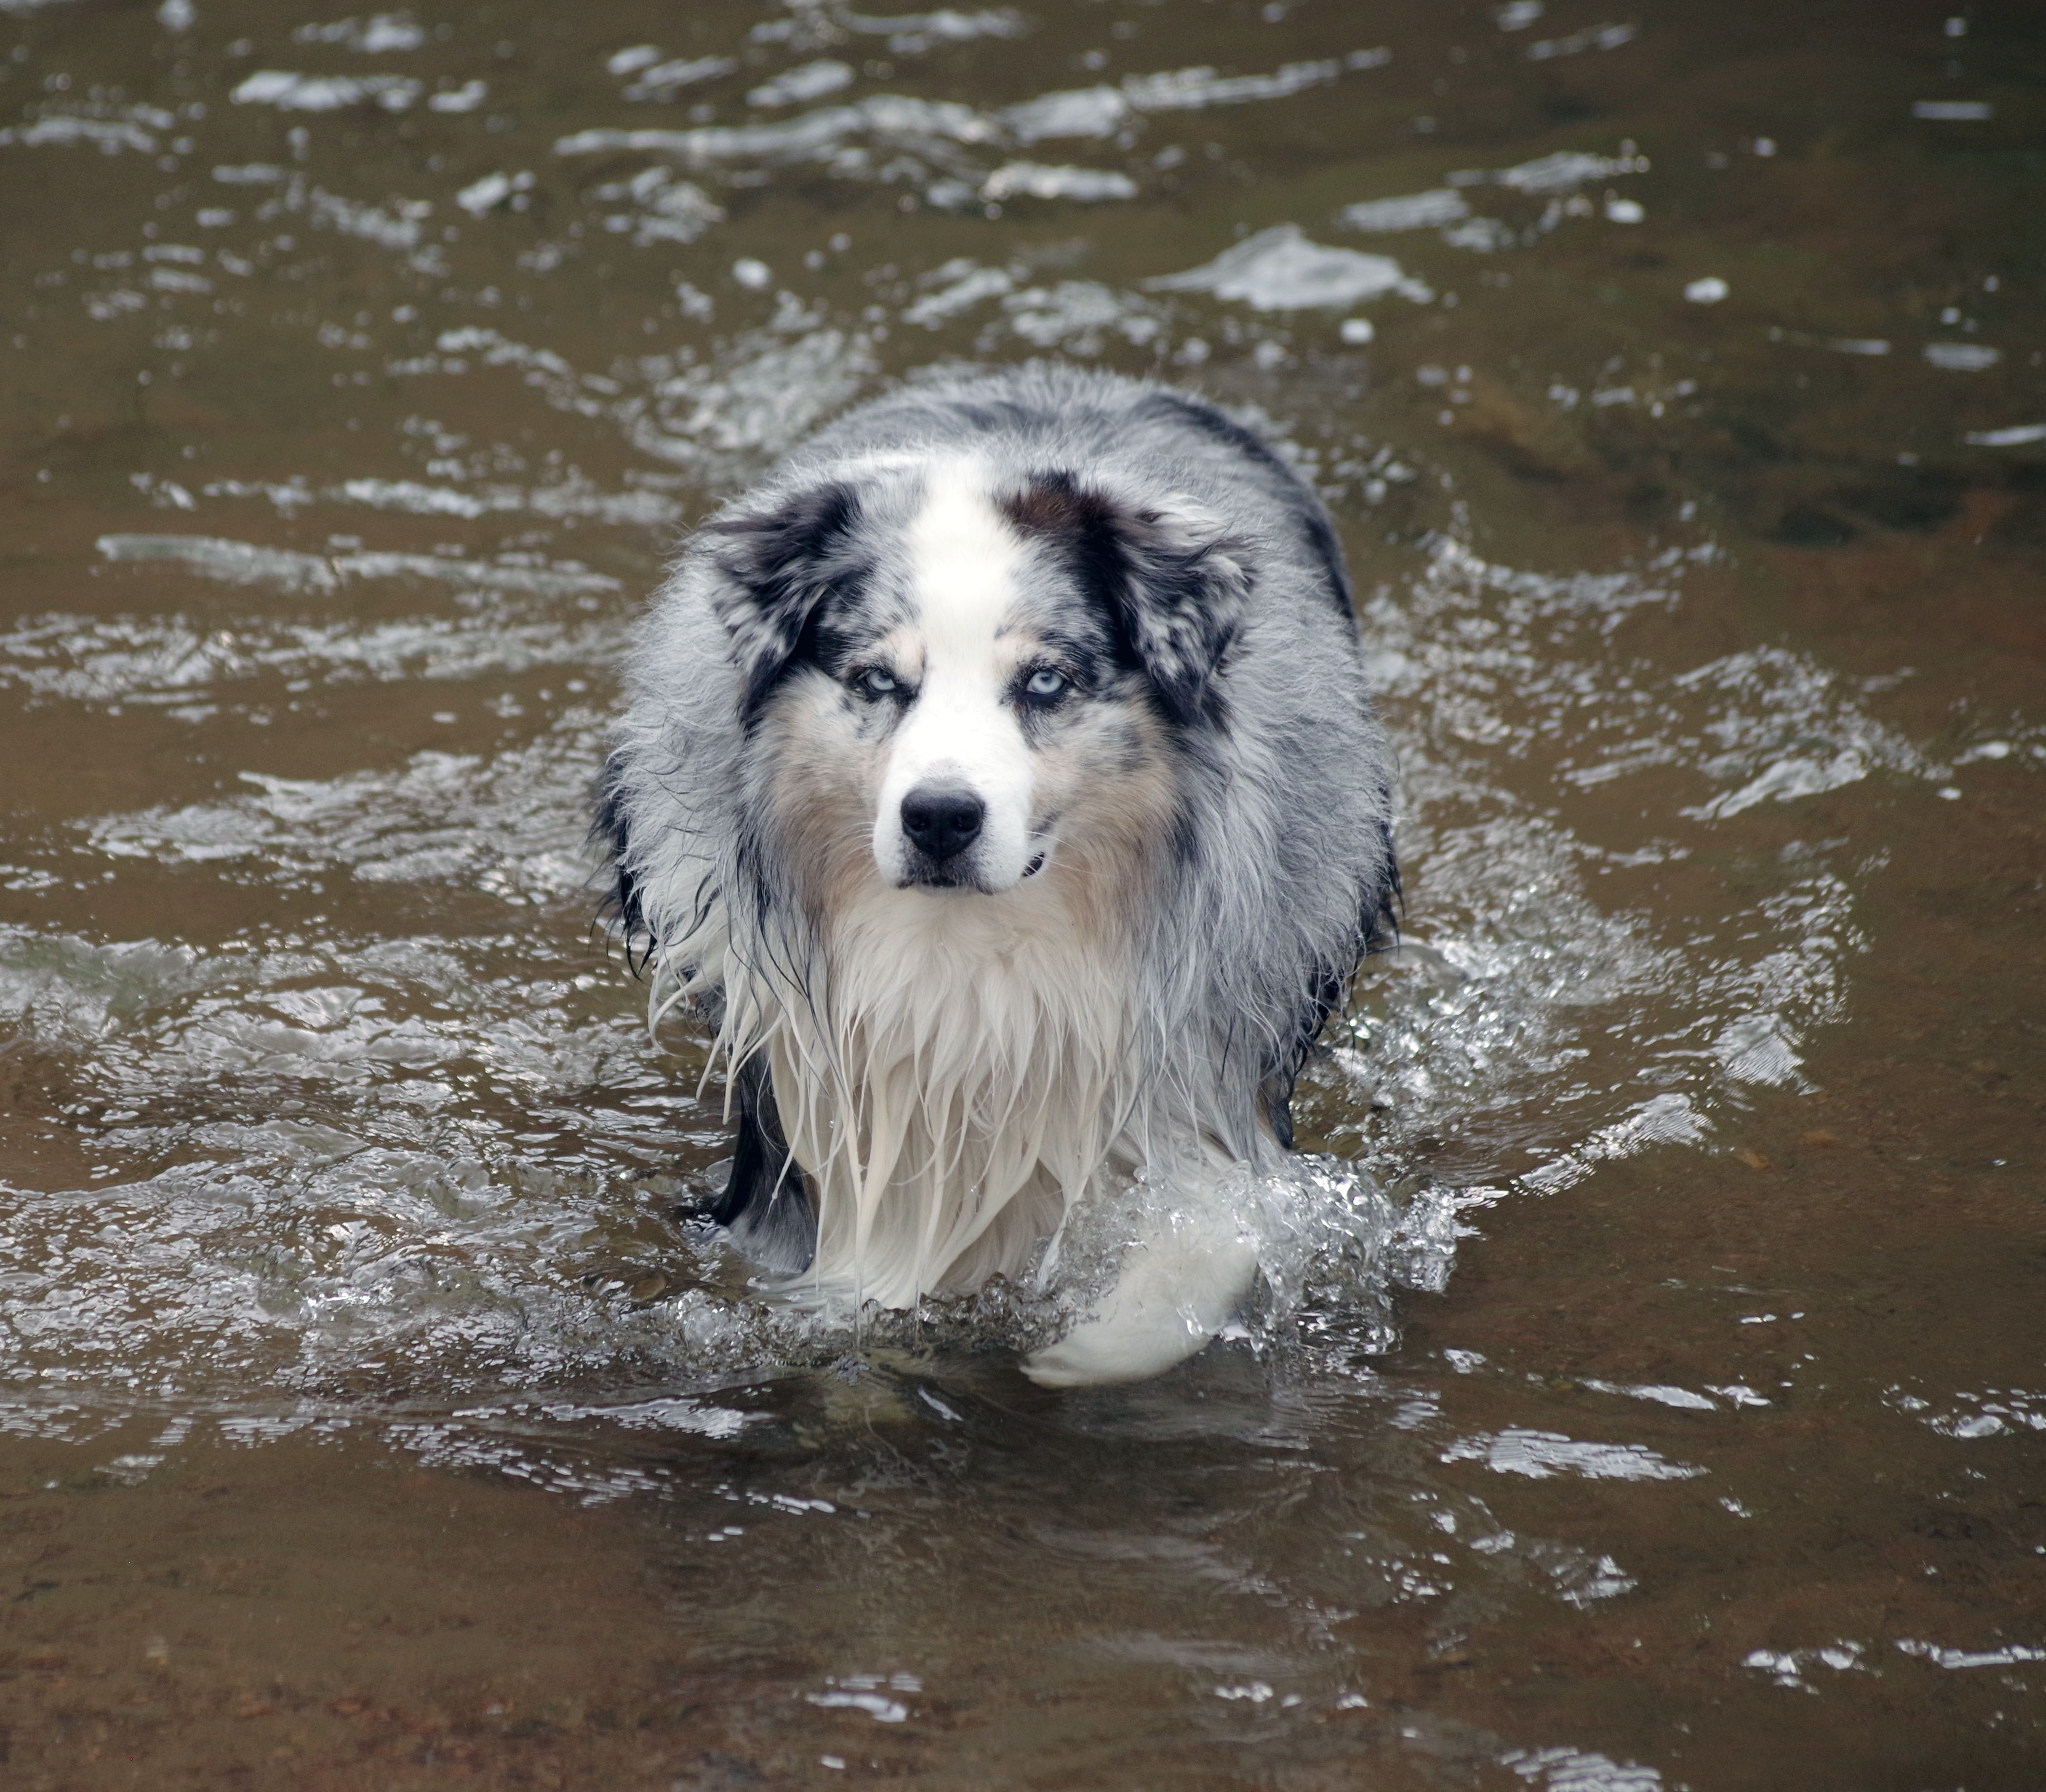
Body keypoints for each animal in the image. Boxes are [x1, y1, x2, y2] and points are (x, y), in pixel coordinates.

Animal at [593, 364, 1391, 1383]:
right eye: (876, 680)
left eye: (1044, 682)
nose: (939, 817)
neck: (973, 952)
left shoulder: (1200, 1083)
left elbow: (1211, 1233)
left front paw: (1084, 1350)